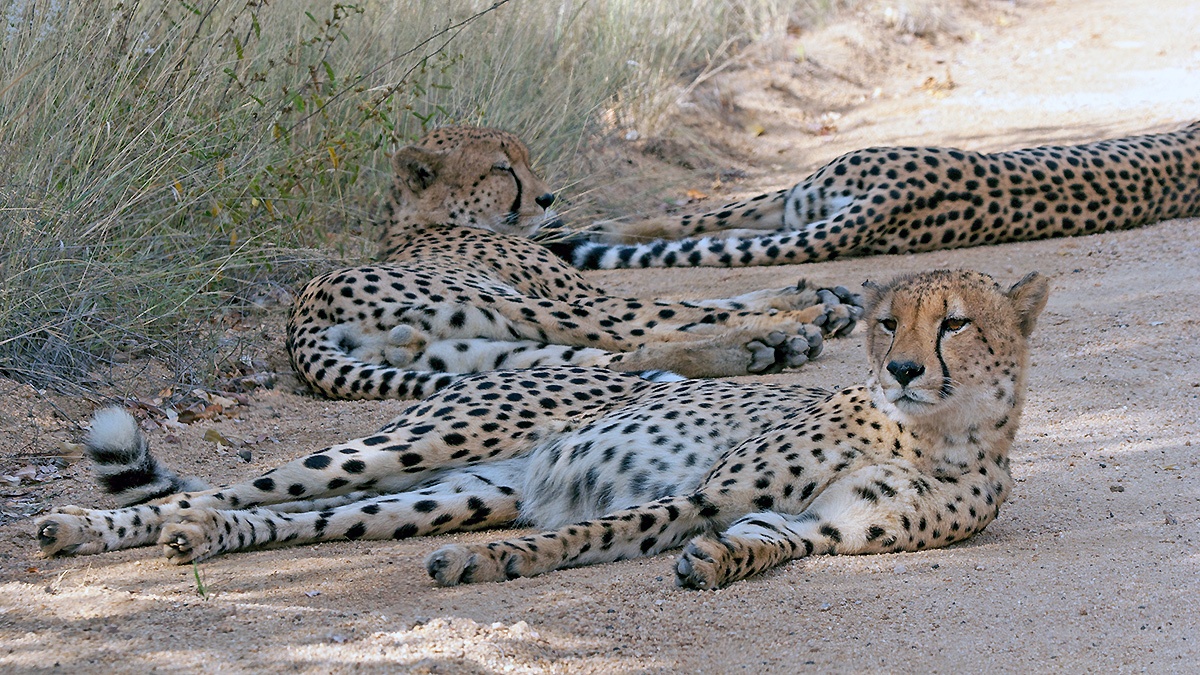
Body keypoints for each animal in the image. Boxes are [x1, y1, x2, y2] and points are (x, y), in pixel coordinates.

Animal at [36, 268, 1049, 592]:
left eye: (955, 323)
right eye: (888, 323)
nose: (902, 369)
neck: (932, 433)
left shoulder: (820, 528)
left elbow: (763, 542)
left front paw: (719, 561)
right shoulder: (708, 489)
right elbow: (596, 530)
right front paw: (504, 565)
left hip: (447, 492)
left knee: (292, 518)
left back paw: (207, 536)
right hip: (422, 440)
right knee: (237, 484)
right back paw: (84, 526)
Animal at [285, 126, 863, 401]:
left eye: (525, 160)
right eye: (502, 169)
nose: (547, 198)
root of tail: (303, 317)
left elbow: (711, 297)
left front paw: (809, 294)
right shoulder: (580, 294)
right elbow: (690, 304)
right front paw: (811, 305)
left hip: (479, 350)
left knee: (615, 360)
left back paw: (761, 346)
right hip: (518, 309)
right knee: (639, 334)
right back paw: (777, 335)